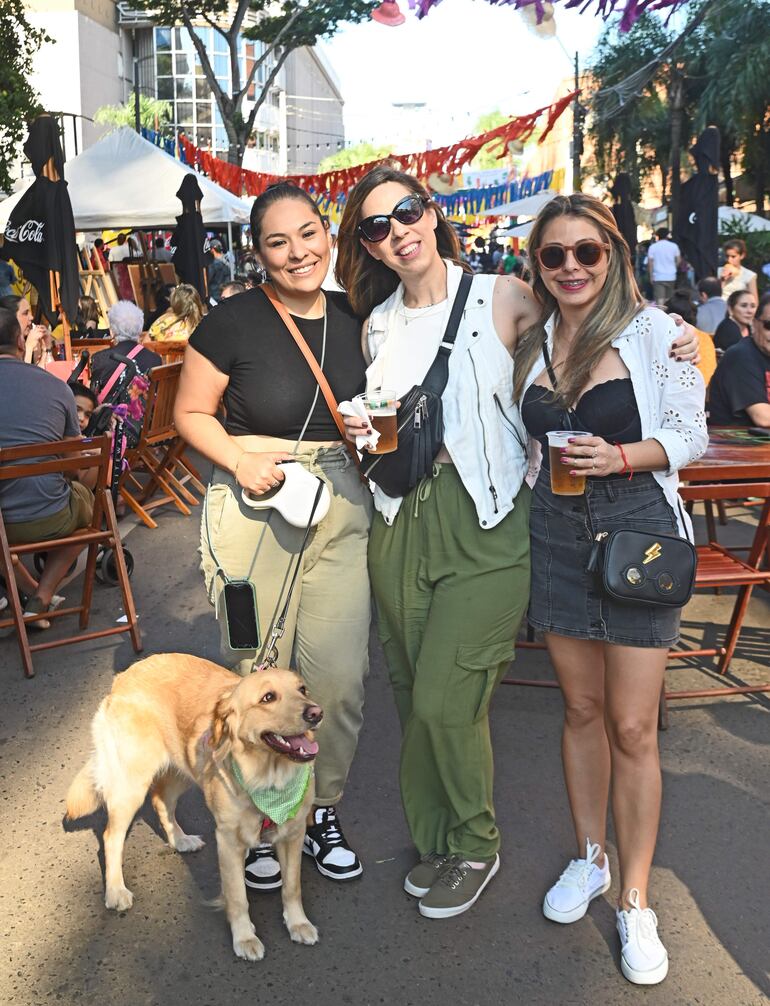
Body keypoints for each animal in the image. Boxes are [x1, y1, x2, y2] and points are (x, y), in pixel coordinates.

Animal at [63, 651, 322, 957]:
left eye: (302, 689)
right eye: (268, 697)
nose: (316, 713)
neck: (267, 780)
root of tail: (122, 676)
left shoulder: (293, 833)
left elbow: (292, 887)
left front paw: (298, 923)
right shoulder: (228, 840)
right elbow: (237, 896)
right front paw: (244, 938)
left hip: (183, 768)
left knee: (160, 799)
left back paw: (180, 840)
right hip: (132, 784)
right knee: (111, 837)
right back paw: (115, 891)